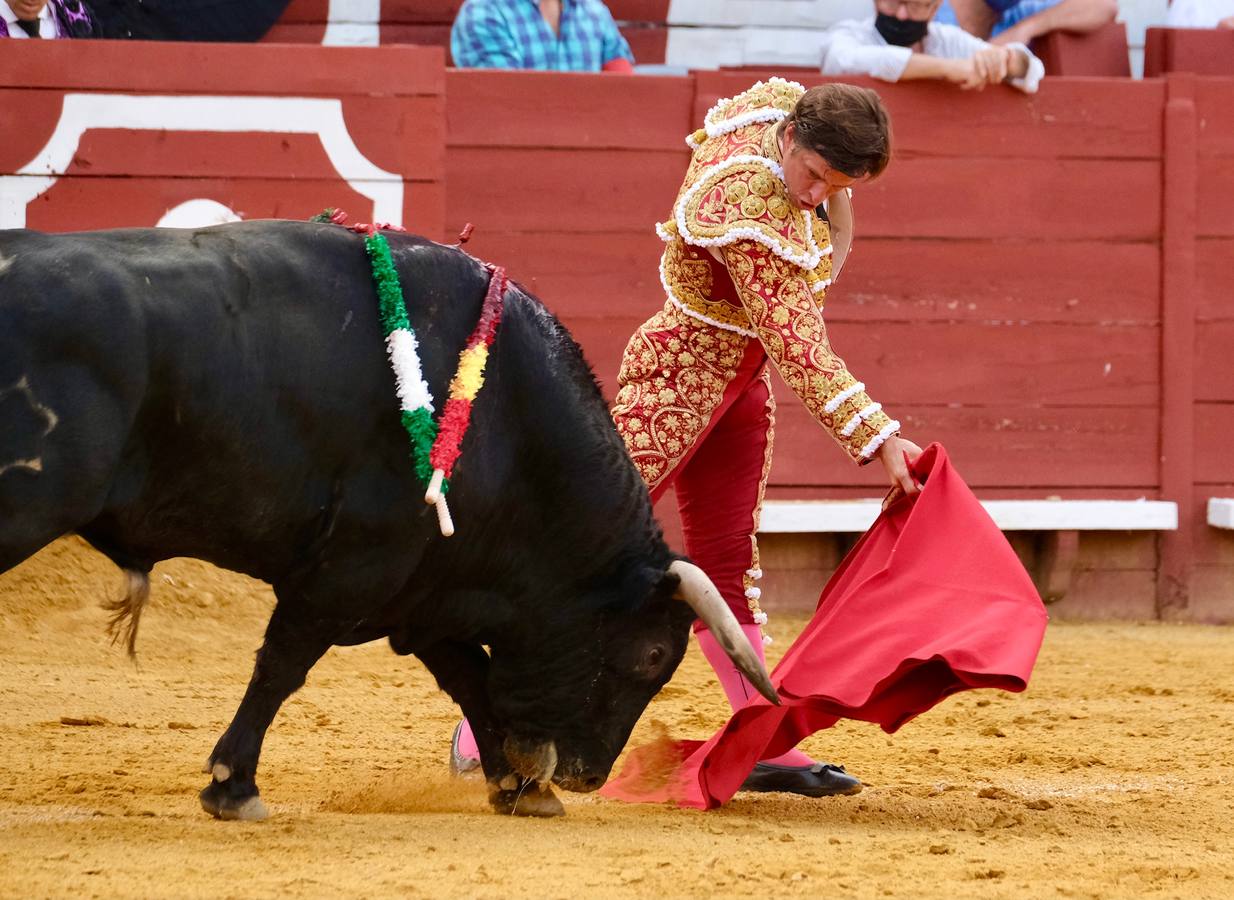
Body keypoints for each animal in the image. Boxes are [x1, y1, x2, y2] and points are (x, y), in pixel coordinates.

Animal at [0, 217, 770, 814]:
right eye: (653, 655)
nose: (588, 777)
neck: (509, 422)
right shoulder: (356, 567)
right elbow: (283, 663)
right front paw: (233, 786)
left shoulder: (422, 587)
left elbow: (468, 680)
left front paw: (518, 790)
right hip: (26, 506)